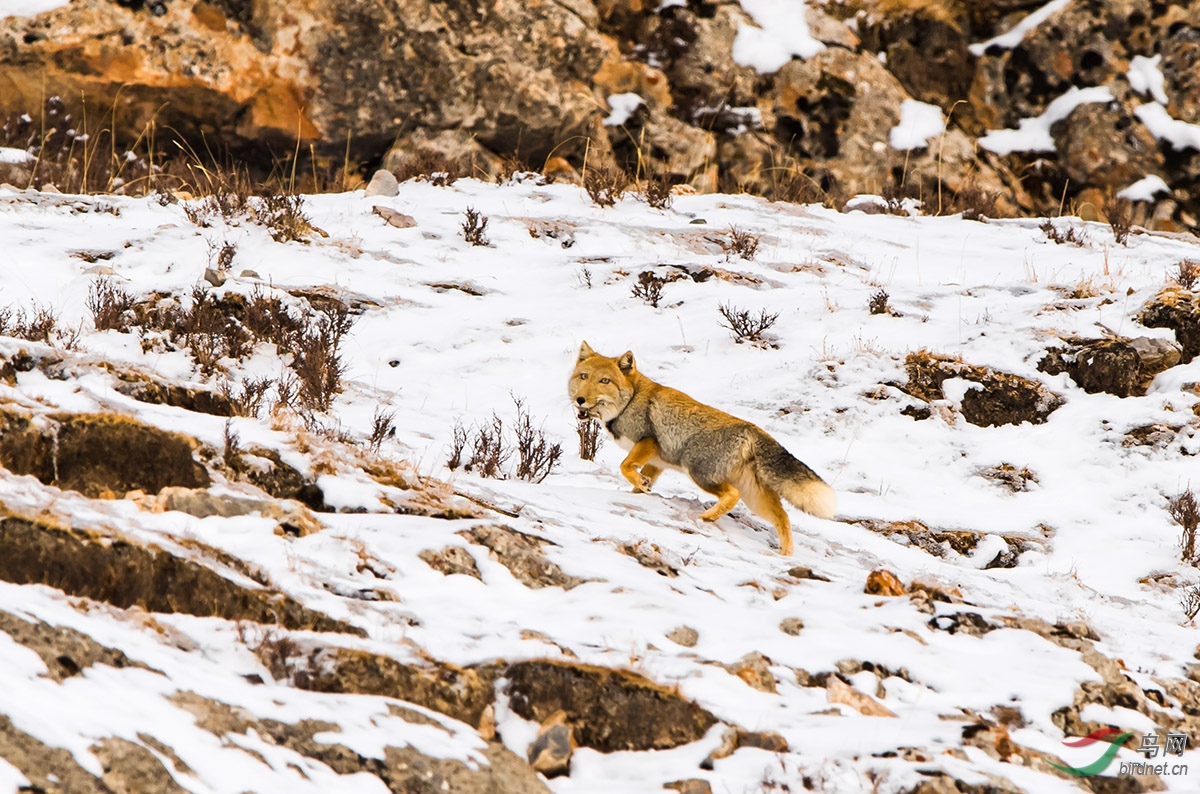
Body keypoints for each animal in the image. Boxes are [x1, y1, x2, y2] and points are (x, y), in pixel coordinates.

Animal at [568, 343, 835, 558]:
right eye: (584, 376)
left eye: (604, 381)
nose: (580, 399)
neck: (630, 401)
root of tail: (752, 428)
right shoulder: (656, 462)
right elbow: (637, 484)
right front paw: (641, 489)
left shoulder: (648, 441)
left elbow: (625, 467)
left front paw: (640, 483)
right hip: (755, 498)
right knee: (783, 517)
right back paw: (786, 555)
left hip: (699, 473)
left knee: (733, 495)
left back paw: (707, 518)